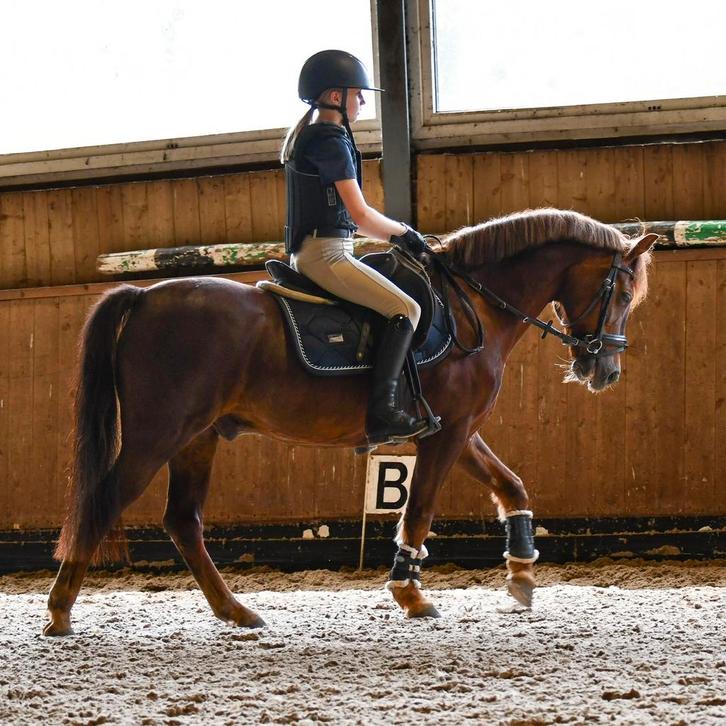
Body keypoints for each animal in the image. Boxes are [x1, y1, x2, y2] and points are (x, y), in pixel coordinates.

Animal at [43, 208, 656, 635]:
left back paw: (236, 611)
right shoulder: (448, 433)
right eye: (623, 291)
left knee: (183, 521)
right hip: (157, 435)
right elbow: (420, 509)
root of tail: (144, 295)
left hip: (197, 438)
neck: (472, 306)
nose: (605, 370)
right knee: (104, 501)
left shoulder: (457, 429)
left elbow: (511, 486)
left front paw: (522, 572)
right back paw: (60, 611)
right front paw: (411, 593)